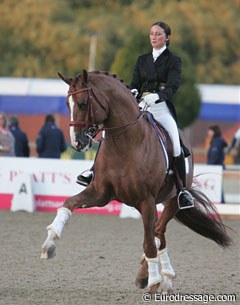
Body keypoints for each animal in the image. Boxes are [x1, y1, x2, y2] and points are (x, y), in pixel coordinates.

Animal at [41, 70, 232, 294]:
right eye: (67, 103)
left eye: (82, 103)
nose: (77, 143)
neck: (125, 144)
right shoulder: (100, 193)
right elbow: (68, 204)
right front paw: (49, 244)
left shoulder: (145, 200)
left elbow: (148, 243)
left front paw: (153, 280)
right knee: (159, 235)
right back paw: (164, 280)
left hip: (171, 201)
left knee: (157, 232)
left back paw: (153, 276)